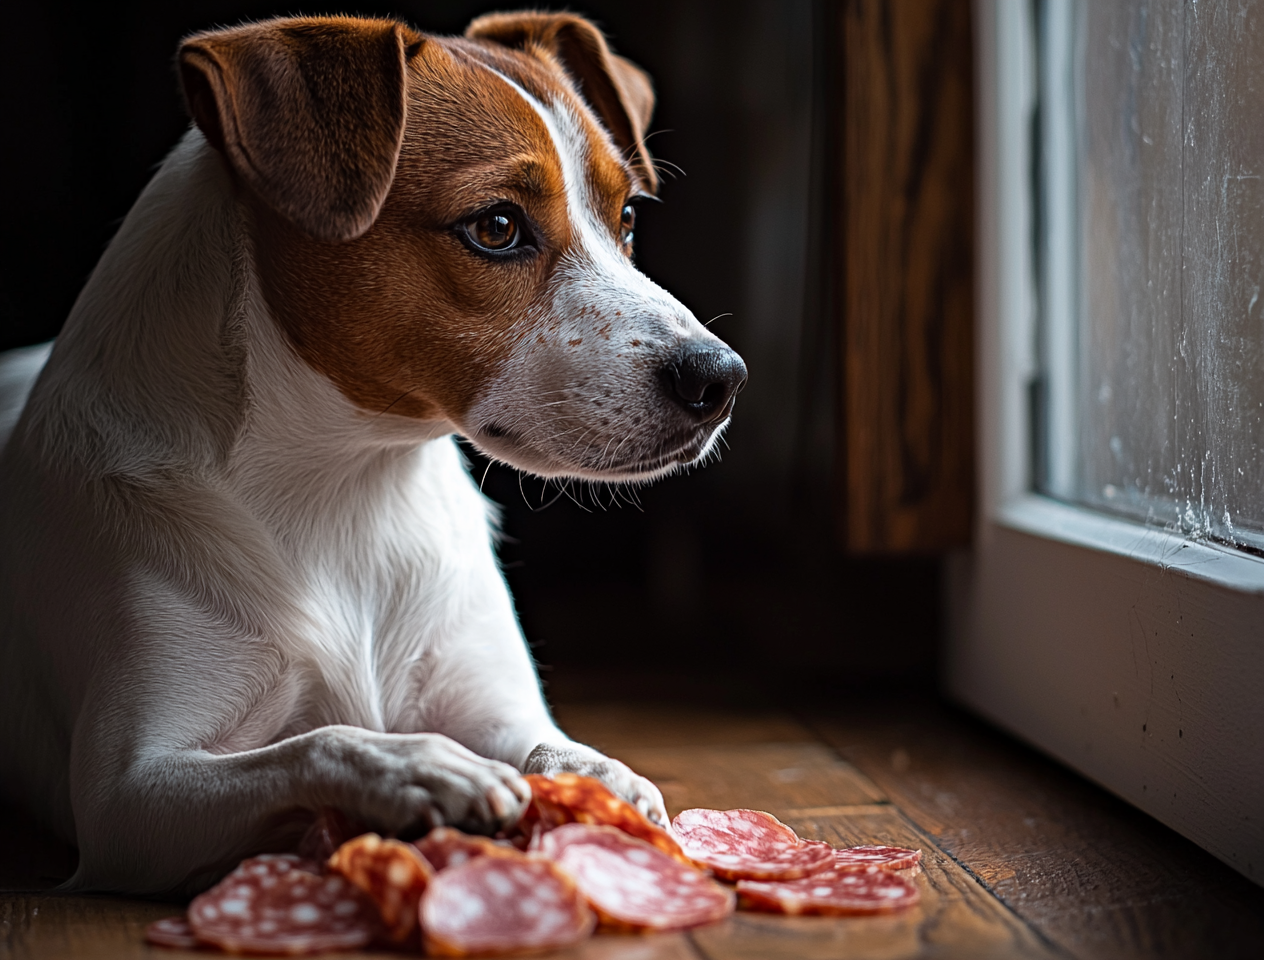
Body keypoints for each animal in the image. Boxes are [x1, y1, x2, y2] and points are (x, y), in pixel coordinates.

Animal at [0, 11, 743, 895]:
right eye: (496, 227)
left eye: (626, 218)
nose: (721, 378)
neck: (349, 484)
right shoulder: (129, 799)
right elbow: (319, 742)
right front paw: (415, 768)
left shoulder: (492, 703)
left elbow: (552, 747)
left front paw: (604, 778)